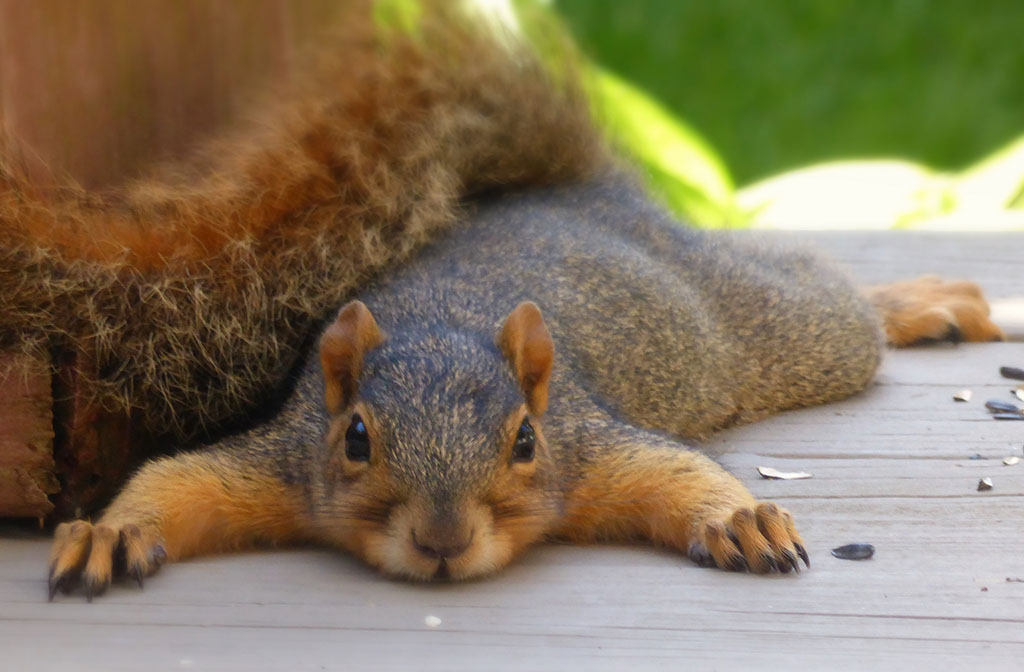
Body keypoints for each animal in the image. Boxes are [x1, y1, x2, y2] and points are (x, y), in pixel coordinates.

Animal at [46, 169, 999, 598]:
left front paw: (743, 518)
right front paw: (107, 534)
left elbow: (677, 470)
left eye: (526, 441)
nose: (441, 541)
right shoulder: (281, 463)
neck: (441, 320)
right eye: (355, 438)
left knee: (828, 294)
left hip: (785, 331)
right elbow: (177, 480)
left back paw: (927, 301)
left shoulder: (591, 445)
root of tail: (584, 191)